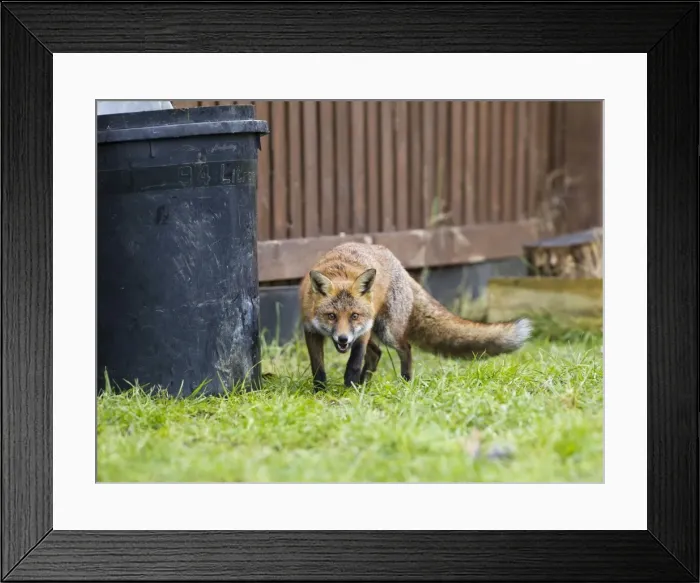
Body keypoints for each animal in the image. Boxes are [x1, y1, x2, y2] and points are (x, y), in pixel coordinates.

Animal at [299, 241, 533, 390]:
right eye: (331, 316)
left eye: (354, 315)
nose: (342, 339)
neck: (341, 272)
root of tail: (399, 264)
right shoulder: (311, 331)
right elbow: (318, 368)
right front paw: (320, 392)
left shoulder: (362, 330)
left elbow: (354, 362)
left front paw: (348, 388)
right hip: (377, 332)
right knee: (376, 354)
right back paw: (365, 385)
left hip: (387, 330)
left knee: (405, 348)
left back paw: (404, 382)